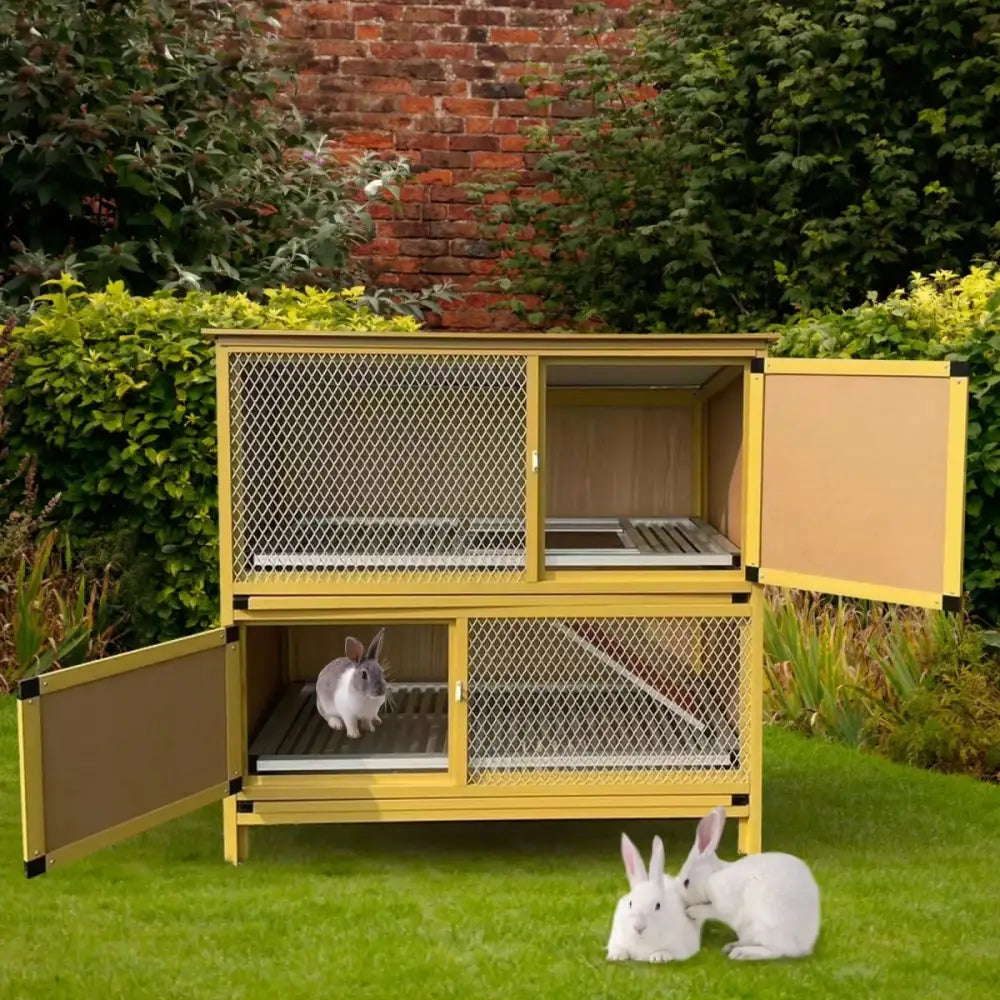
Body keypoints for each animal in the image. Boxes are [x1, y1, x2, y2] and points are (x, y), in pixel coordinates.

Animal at [607, 833, 703, 963]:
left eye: (658, 906)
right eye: (630, 903)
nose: (639, 927)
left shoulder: (680, 949)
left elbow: (668, 952)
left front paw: (659, 957)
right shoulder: (616, 939)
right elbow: (618, 947)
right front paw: (617, 955)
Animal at [677, 806, 821, 961]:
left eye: (686, 882)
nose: (682, 899)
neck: (710, 876)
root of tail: (803, 946)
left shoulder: (722, 903)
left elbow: (709, 910)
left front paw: (690, 912)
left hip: (764, 927)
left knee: (775, 951)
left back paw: (741, 953)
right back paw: (731, 946)